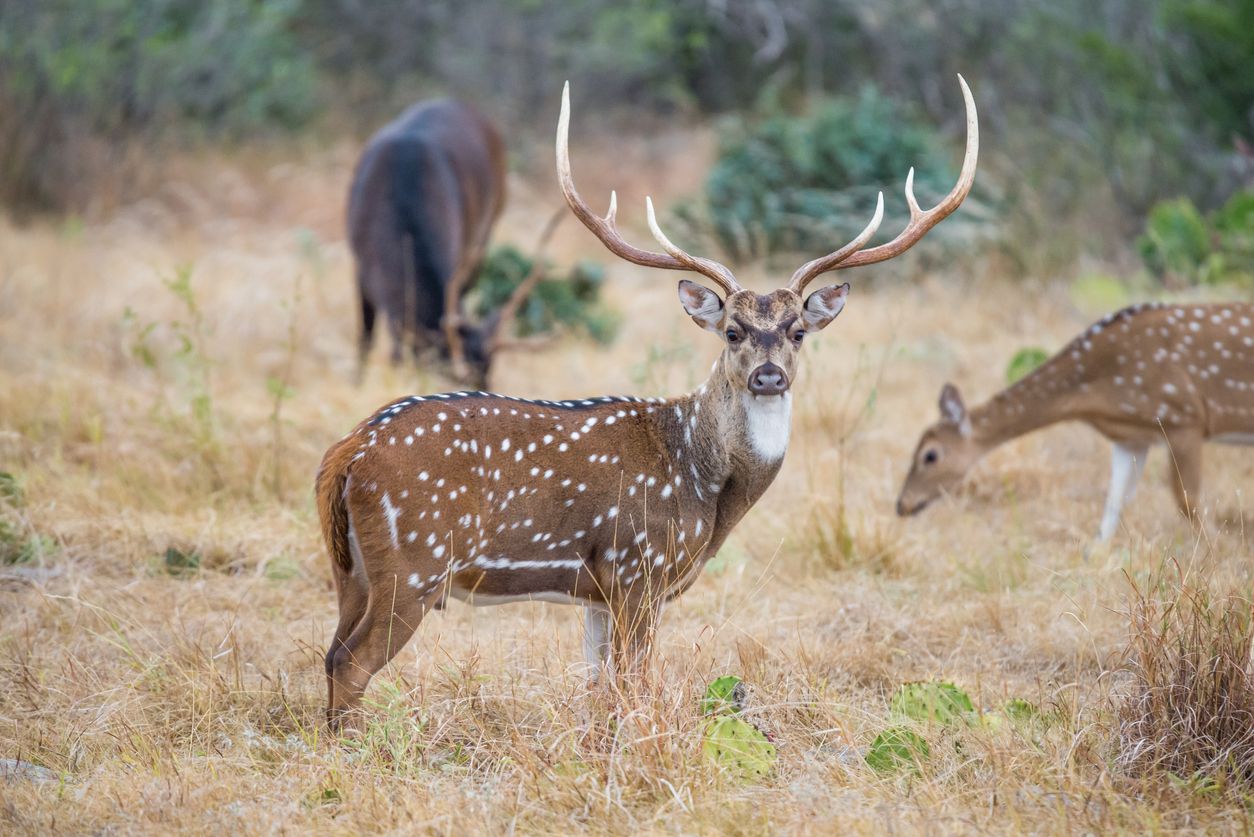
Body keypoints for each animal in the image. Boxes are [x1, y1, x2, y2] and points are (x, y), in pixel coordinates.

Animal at [316, 76, 978, 727]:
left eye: (797, 332)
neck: (705, 484)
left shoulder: (596, 589)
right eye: (732, 330)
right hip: (415, 559)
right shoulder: (641, 566)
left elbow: (598, 688)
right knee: (352, 661)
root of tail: (347, 453)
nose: (768, 377)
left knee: (330, 652)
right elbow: (635, 685)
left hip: (352, 568)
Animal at [897, 301, 1254, 544]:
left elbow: (1188, 501)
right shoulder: (1131, 437)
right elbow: (1112, 507)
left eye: (930, 455)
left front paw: (1219, 552)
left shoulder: (1184, 416)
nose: (902, 504)